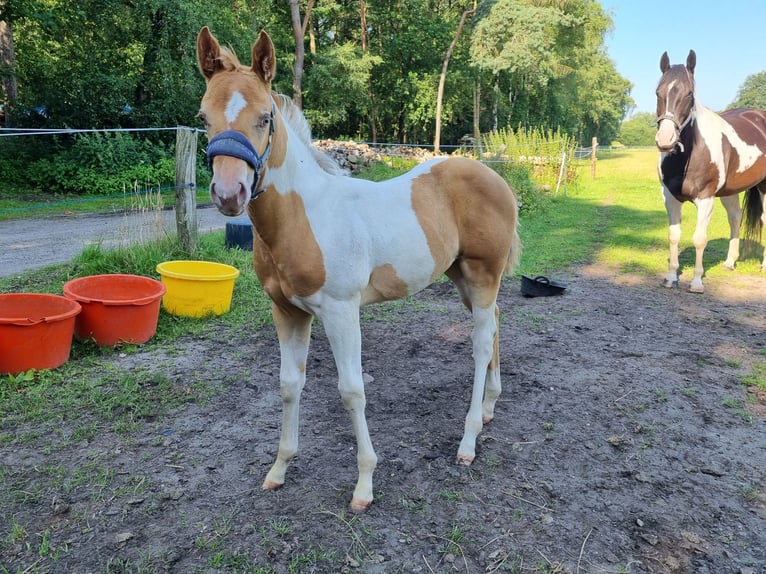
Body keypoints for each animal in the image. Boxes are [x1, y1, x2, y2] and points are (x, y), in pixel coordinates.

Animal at [195, 27, 524, 512]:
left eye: (265, 118)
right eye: (203, 117)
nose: (228, 194)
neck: (304, 217)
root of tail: (497, 178)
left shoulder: (340, 311)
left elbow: (351, 390)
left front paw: (364, 485)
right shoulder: (287, 312)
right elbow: (289, 384)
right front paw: (279, 470)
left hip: (484, 275)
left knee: (482, 343)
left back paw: (468, 441)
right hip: (463, 277)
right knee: (497, 323)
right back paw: (488, 408)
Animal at [656, 49, 766, 292]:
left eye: (689, 94)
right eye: (658, 92)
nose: (665, 140)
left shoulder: (705, 199)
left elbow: (699, 238)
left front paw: (697, 282)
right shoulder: (670, 197)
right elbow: (673, 236)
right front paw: (671, 277)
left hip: (764, 188)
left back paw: (764, 266)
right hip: (730, 191)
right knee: (735, 217)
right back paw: (729, 262)